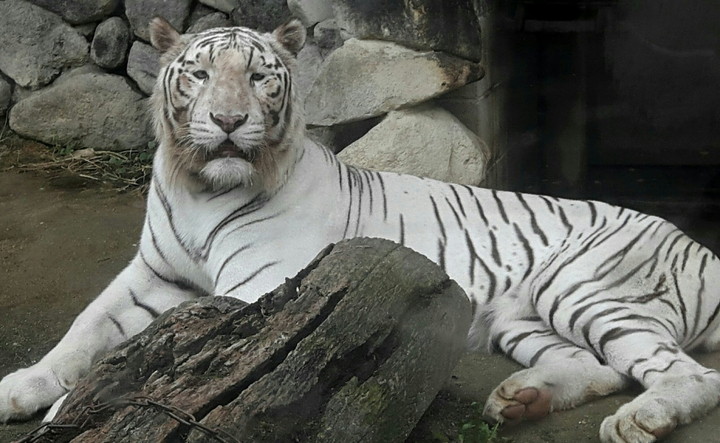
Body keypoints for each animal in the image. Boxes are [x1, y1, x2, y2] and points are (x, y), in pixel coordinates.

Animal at [1, 15, 720, 442]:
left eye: (258, 77)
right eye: (200, 74)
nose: (230, 121)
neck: (203, 186)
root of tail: (696, 246)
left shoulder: (257, 288)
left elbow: (144, 351)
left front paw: (70, 415)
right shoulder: (153, 274)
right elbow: (84, 333)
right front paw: (22, 388)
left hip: (589, 288)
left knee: (688, 375)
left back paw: (638, 418)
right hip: (524, 315)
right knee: (598, 367)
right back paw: (521, 400)